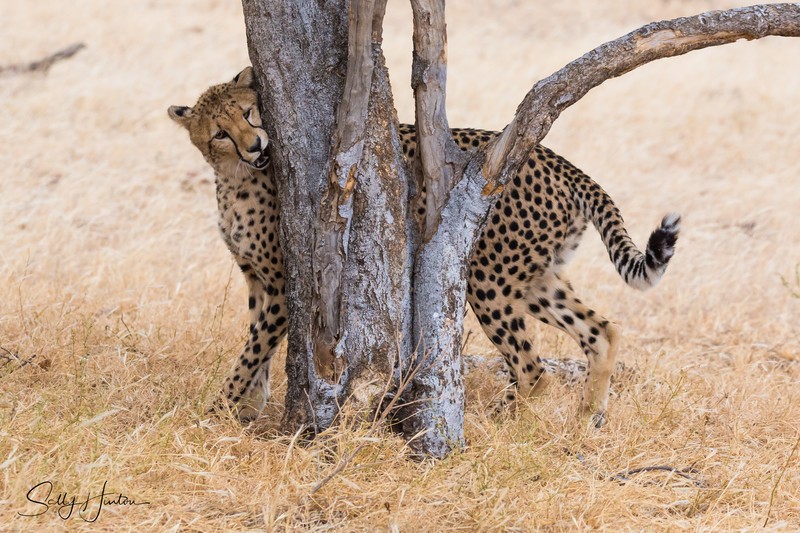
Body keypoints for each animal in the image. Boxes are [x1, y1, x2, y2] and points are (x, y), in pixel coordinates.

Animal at [169, 67, 680, 427]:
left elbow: (252, 351)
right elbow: (257, 352)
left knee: (534, 369)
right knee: (602, 330)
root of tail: (557, 160)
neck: (234, 177)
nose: (256, 145)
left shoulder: (278, 283)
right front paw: (247, 409)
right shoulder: (257, 279)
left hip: (488, 281)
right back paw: (586, 418)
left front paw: (217, 409)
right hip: (535, 277)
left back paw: (509, 428)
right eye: (219, 132)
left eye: (250, 114)